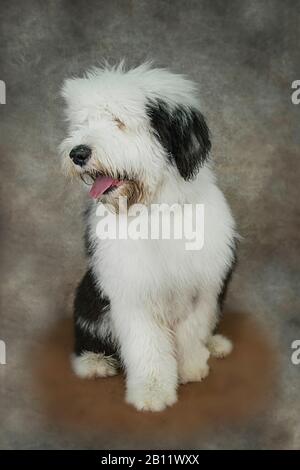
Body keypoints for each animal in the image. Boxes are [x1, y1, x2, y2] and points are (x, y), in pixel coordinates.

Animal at [59, 63, 237, 412]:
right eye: (83, 123)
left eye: (119, 121)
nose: (77, 153)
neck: (155, 210)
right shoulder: (132, 291)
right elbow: (147, 347)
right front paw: (152, 393)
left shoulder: (204, 285)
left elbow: (192, 329)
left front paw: (192, 367)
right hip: (88, 296)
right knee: (88, 335)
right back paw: (94, 363)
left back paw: (215, 344)